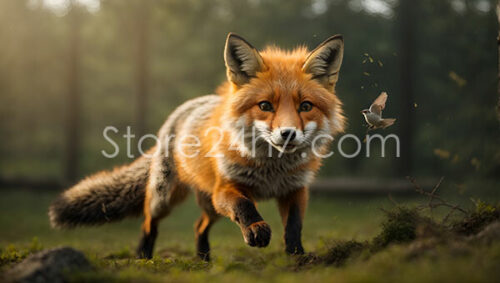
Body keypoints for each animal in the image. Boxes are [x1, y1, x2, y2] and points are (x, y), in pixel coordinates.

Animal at [48, 33, 346, 262]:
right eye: (265, 105)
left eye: (305, 106)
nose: (287, 134)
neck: (272, 171)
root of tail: (187, 106)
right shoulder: (226, 187)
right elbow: (244, 206)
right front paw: (256, 229)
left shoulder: (295, 189)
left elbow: (294, 226)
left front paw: (297, 256)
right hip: (167, 198)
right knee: (149, 220)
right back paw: (144, 255)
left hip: (210, 205)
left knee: (198, 227)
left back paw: (204, 259)